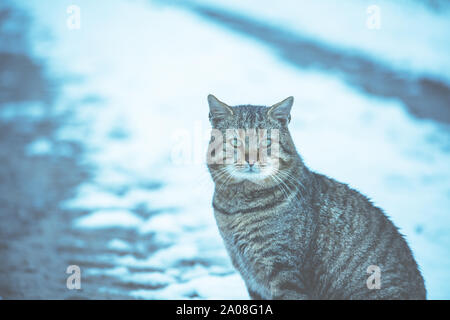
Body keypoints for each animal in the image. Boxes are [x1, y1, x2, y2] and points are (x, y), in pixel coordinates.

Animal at [206, 94, 428, 298]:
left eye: (267, 141)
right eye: (235, 142)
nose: (251, 159)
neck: (236, 208)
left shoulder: (285, 272)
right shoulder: (251, 278)